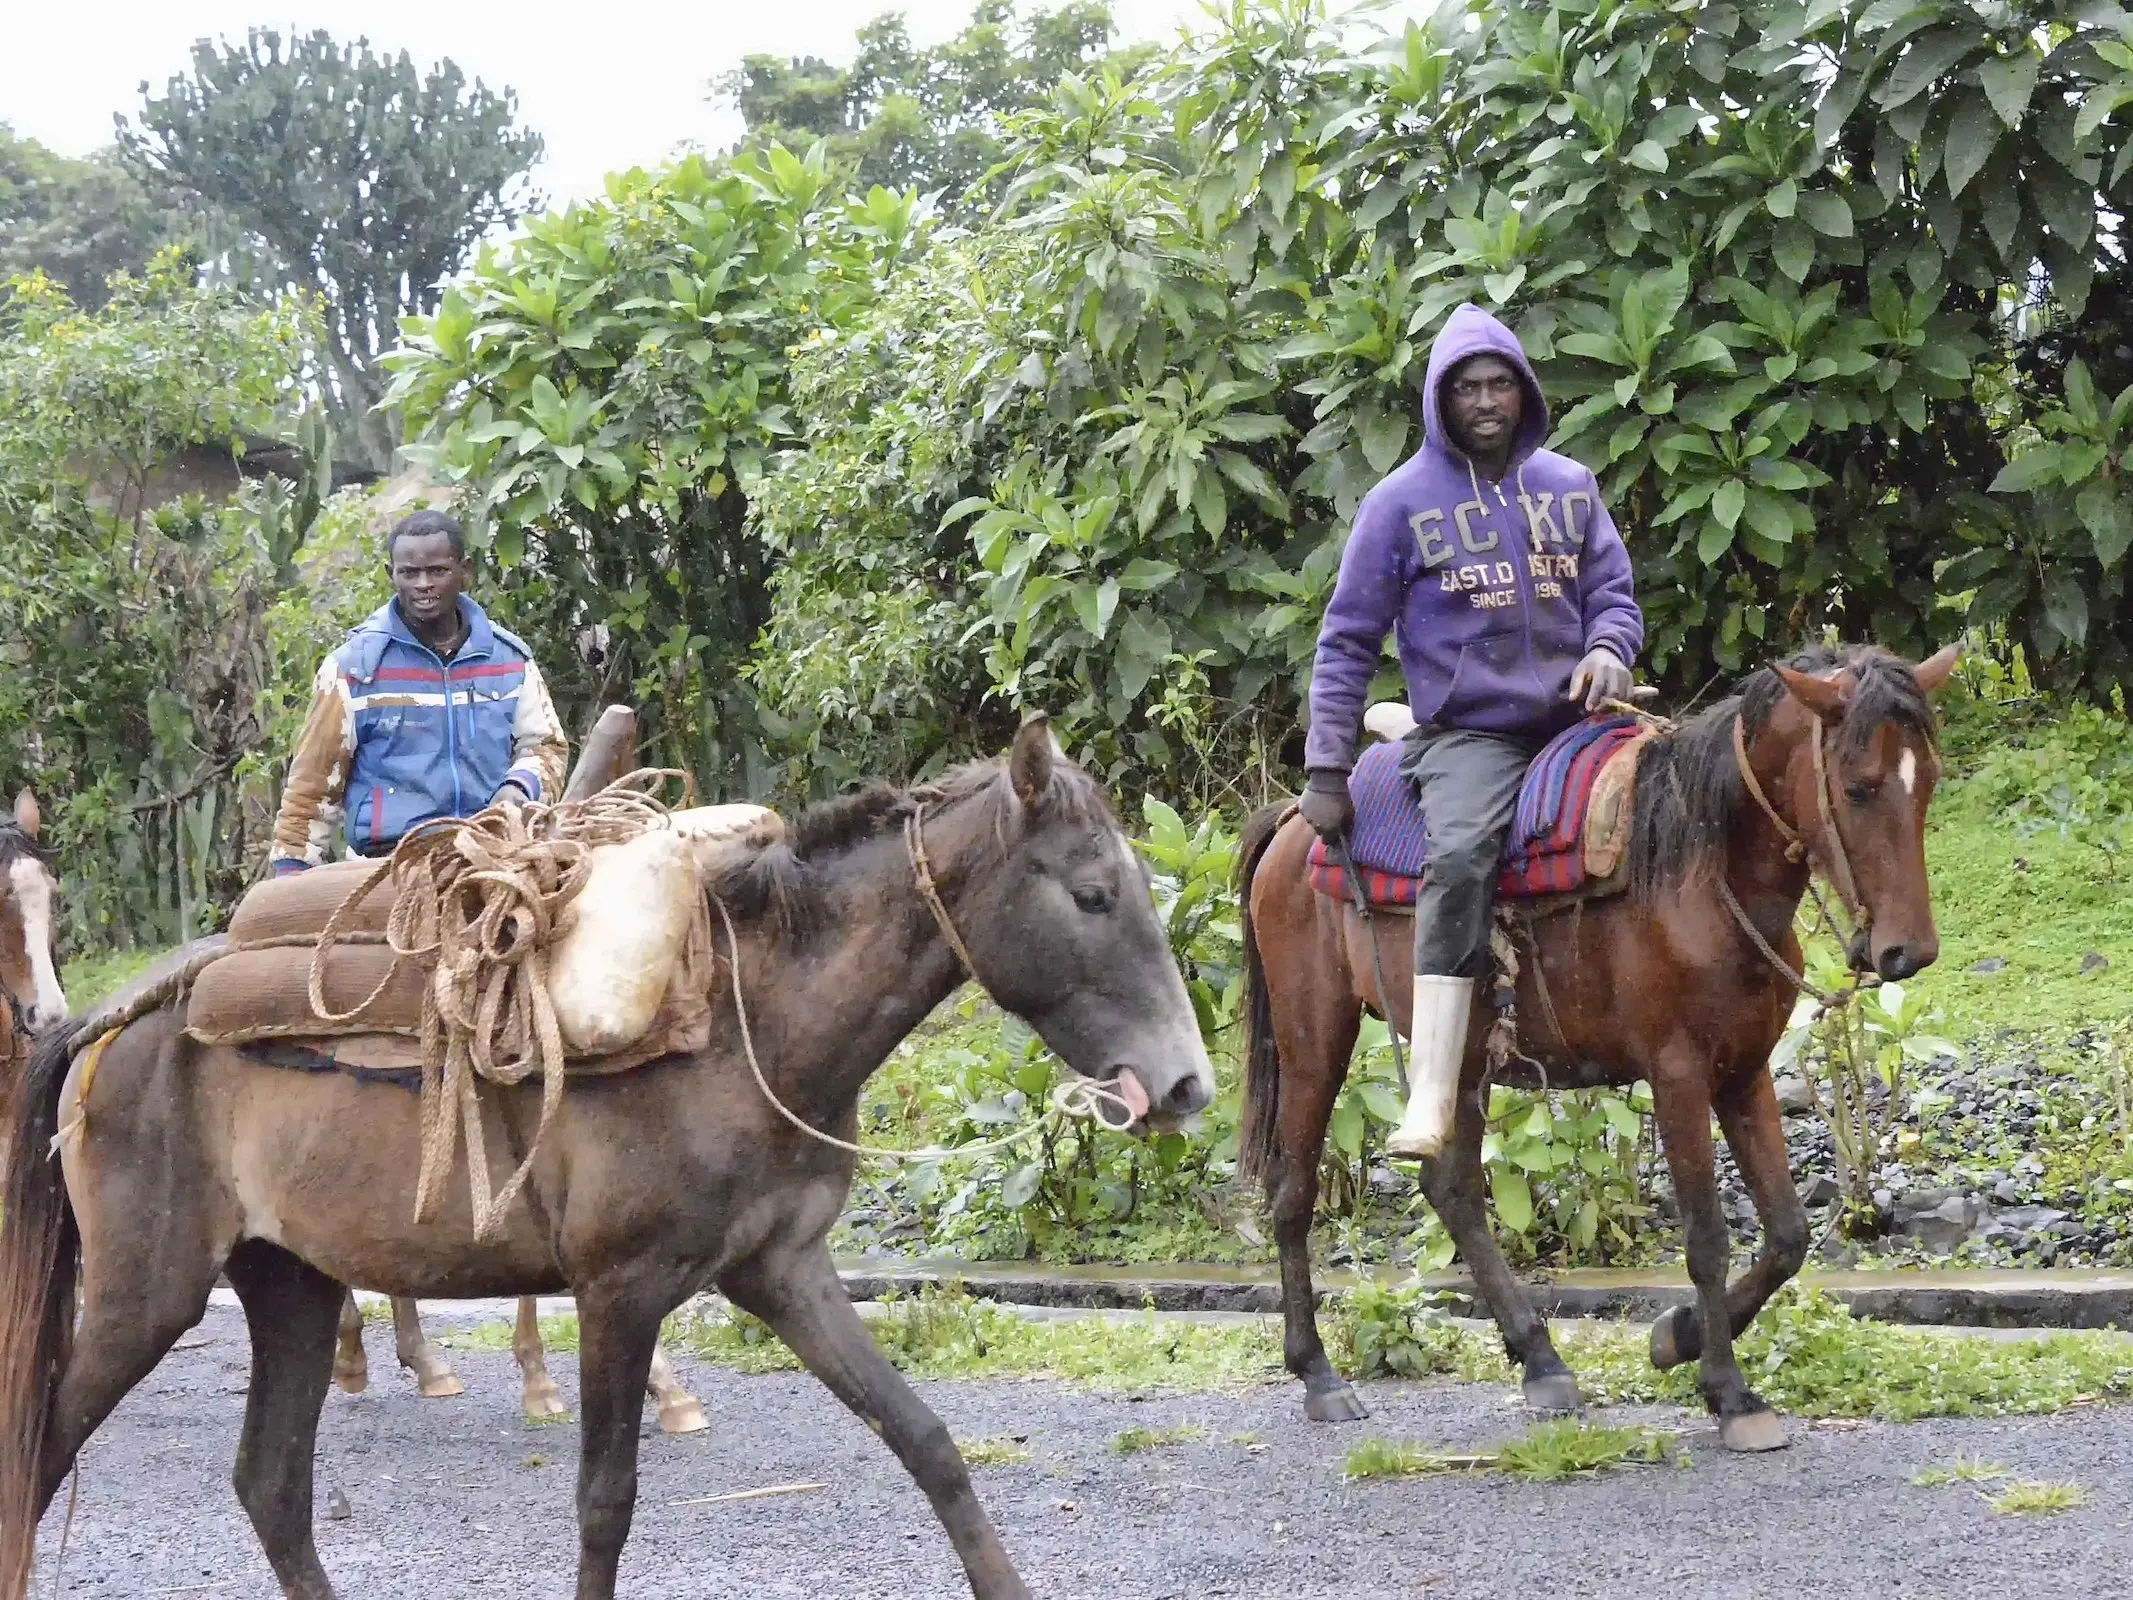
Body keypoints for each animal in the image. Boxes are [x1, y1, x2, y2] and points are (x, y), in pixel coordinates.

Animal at [1245, 644, 1953, 1450]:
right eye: (1859, 788)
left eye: (1927, 782)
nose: (1908, 951)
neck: (1698, 869)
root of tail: (1296, 822)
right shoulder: (1678, 1075)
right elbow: (1707, 1237)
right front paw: (1728, 1392)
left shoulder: (1743, 1073)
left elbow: (1786, 1233)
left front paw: (1676, 1338)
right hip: (1314, 1038)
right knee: (1294, 1193)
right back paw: (1318, 1373)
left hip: (1465, 1060)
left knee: (1452, 1191)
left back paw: (1541, 1360)